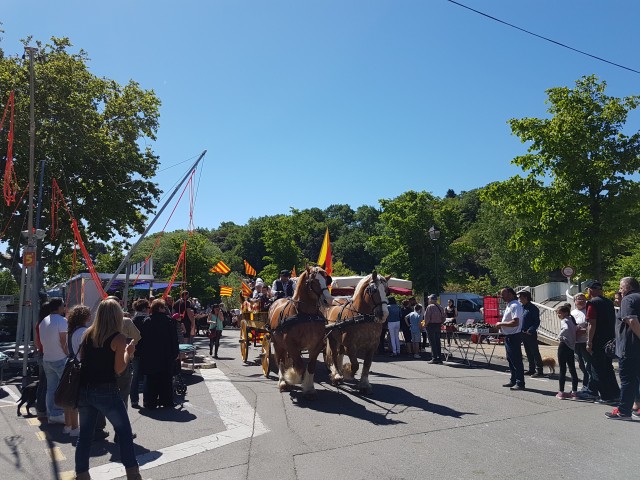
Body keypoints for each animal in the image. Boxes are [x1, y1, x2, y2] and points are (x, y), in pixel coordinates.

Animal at [266, 266, 332, 398]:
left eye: (326, 279)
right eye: (313, 281)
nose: (328, 299)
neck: (307, 315)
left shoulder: (316, 345)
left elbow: (310, 367)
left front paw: (310, 389)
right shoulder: (291, 345)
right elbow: (300, 366)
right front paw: (293, 377)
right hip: (277, 342)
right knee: (280, 360)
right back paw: (282, 382)